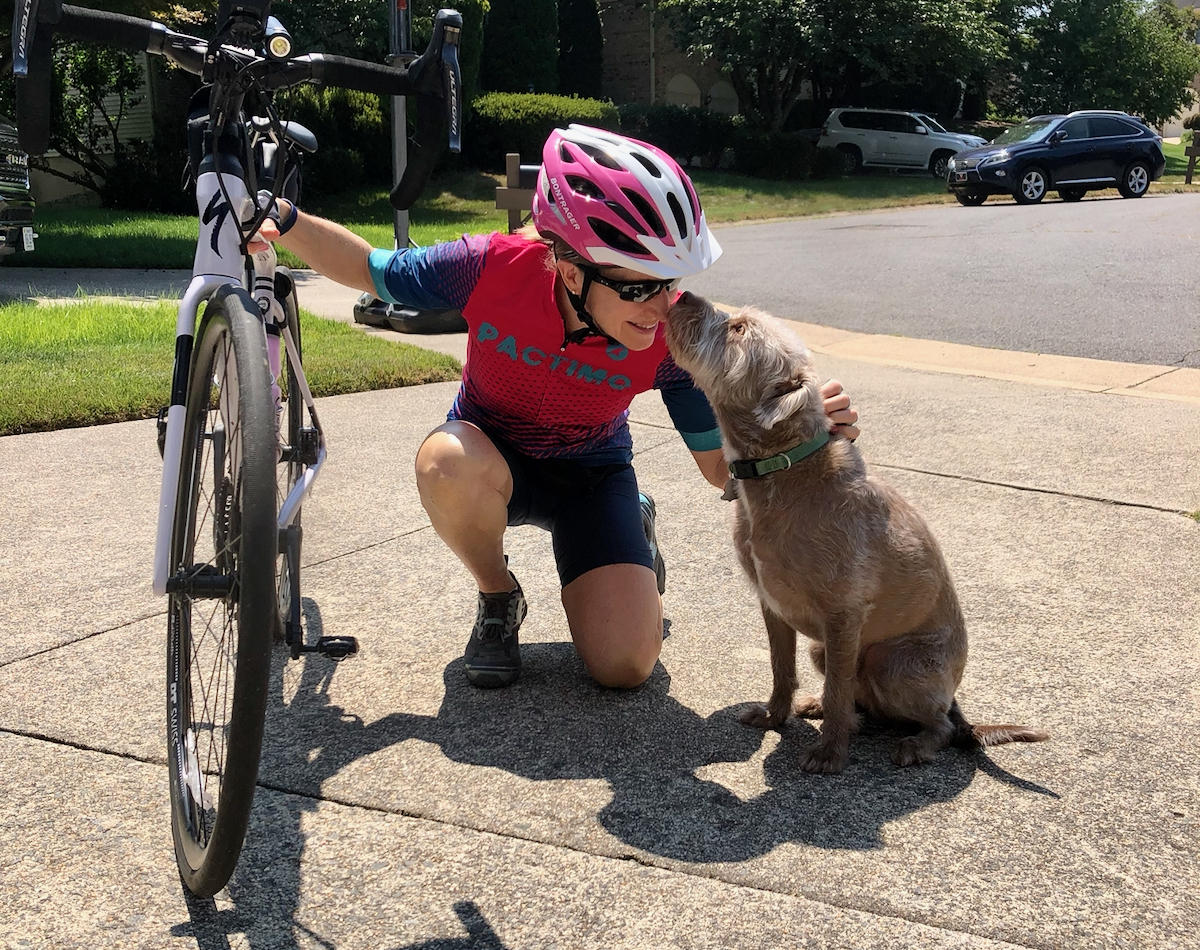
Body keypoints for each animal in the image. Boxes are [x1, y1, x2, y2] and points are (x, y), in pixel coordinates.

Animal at [666, 292, 1048, 774]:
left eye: (738, 329)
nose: (682, 295)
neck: (784, 469)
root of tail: (957, 701)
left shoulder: (842, 614)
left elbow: (837, 689)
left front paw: (829, 754)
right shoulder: (772, 604)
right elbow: (781, 667)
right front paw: (775, 716)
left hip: (892, 662)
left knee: (933, 723)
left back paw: (914, 744)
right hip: (823, 650)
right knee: (860, 703)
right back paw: (823, 708)